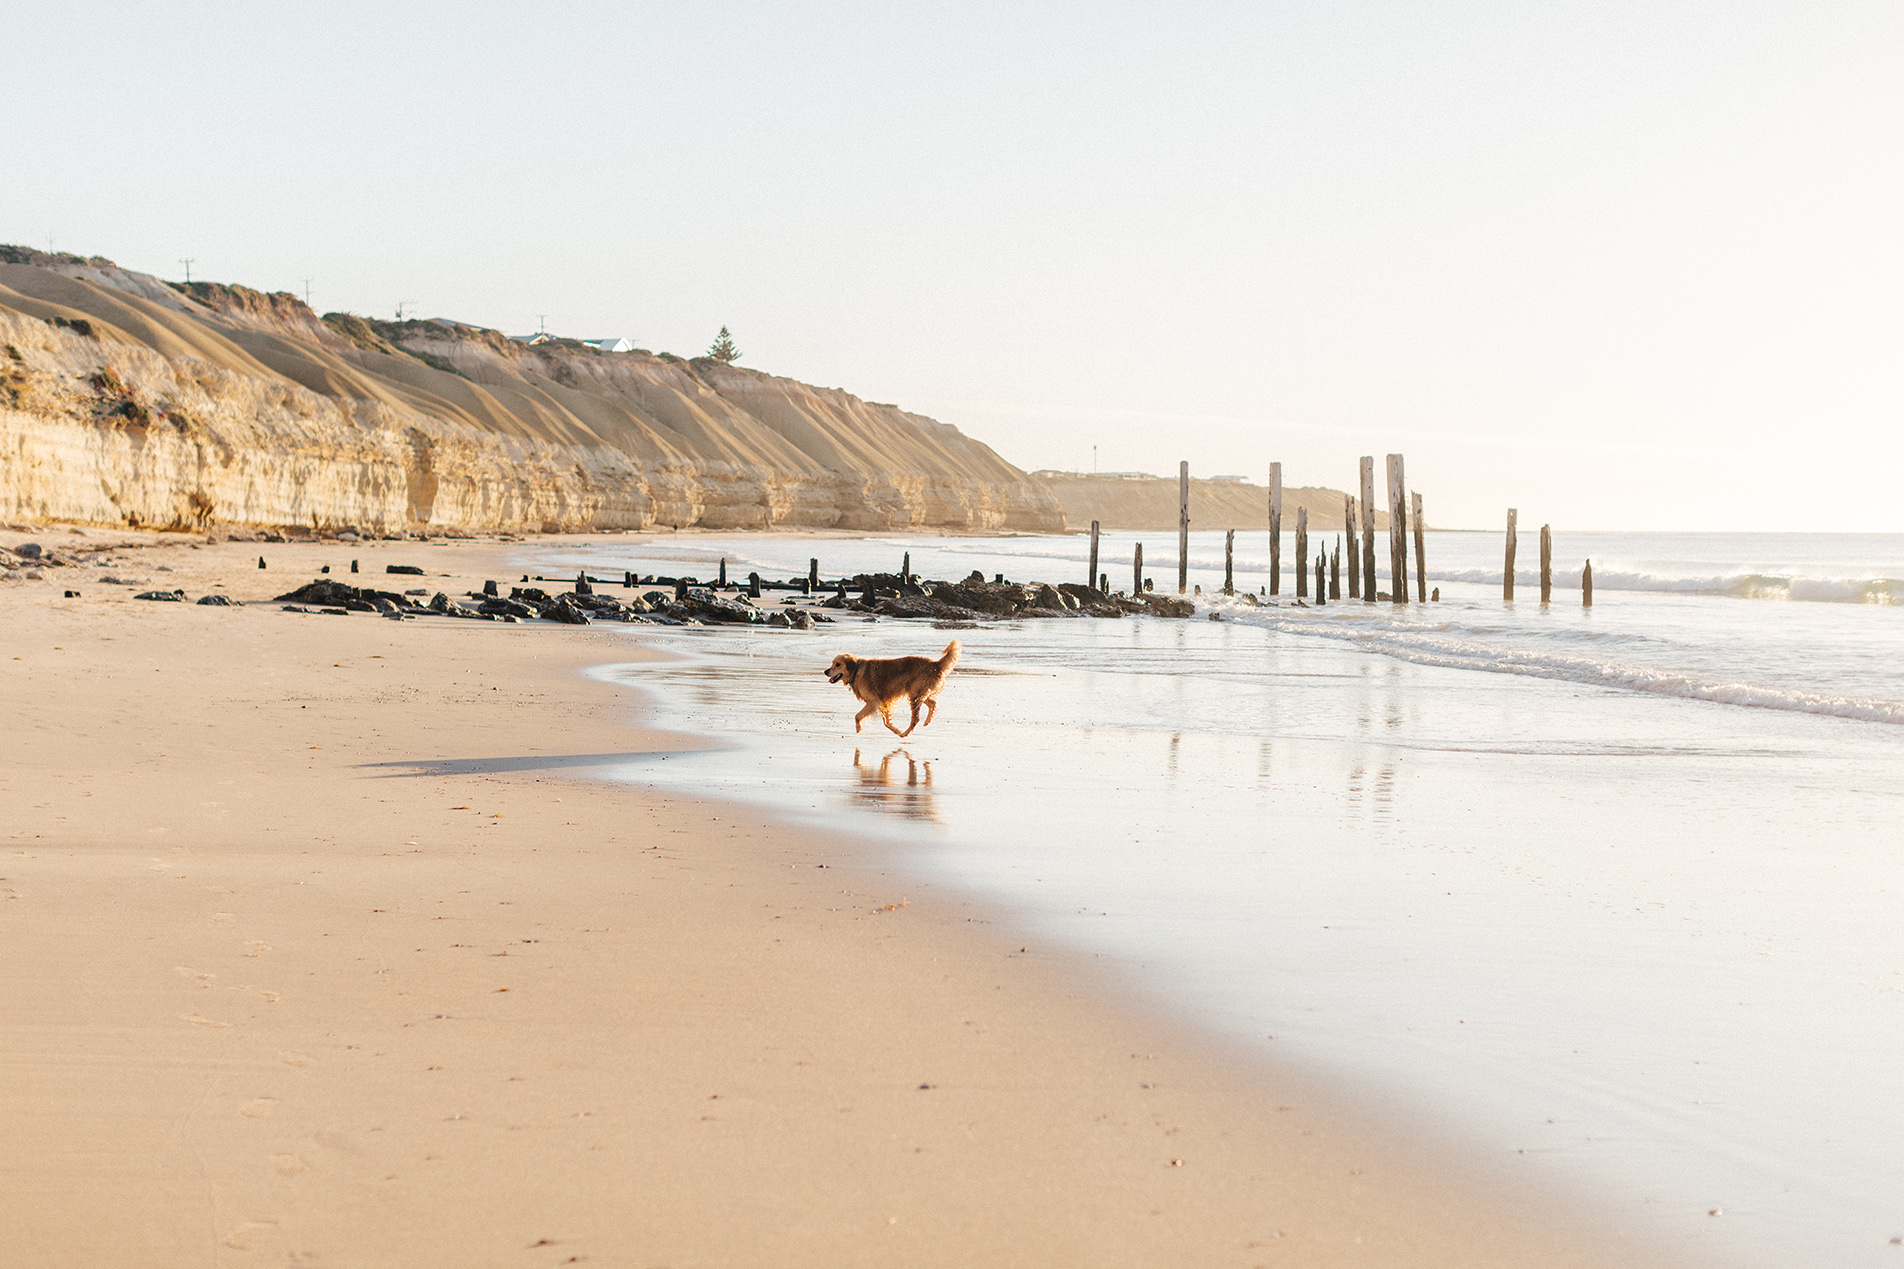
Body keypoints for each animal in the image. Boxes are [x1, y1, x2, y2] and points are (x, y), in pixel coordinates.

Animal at [826, 636, 959, 735]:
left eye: (837, 664)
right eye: (832, 663)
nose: (825, 671)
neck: (856, 670)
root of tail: (936, 664)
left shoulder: (874, 701)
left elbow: (857, 716)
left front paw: (858, 729)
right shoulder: (882, 701)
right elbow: (886, 721)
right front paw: (895, 730)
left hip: (915, 695)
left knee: (915, 719)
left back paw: (905, 733)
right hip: (917, 693)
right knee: (932, 703)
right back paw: (926, 722)